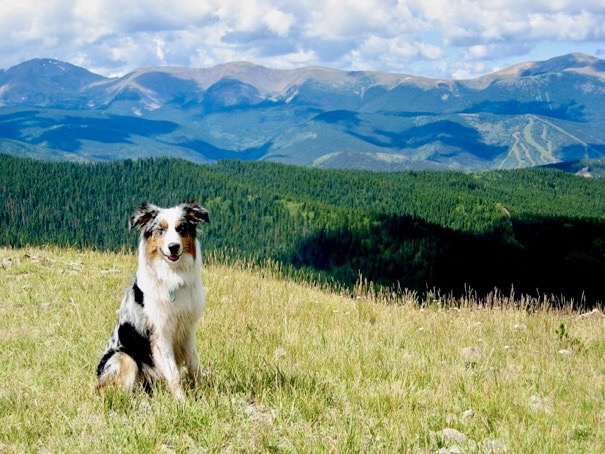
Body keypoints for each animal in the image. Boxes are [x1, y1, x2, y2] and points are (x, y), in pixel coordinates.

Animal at [94, 200, 208, 400]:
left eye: (181, 228)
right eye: (161, 230)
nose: (173, 247)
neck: (172, 277)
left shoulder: (187, 328)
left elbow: (194, 365)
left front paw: (200, 394)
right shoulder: (160, 334)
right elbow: (173, 373)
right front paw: (182, 401)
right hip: (124, 357)